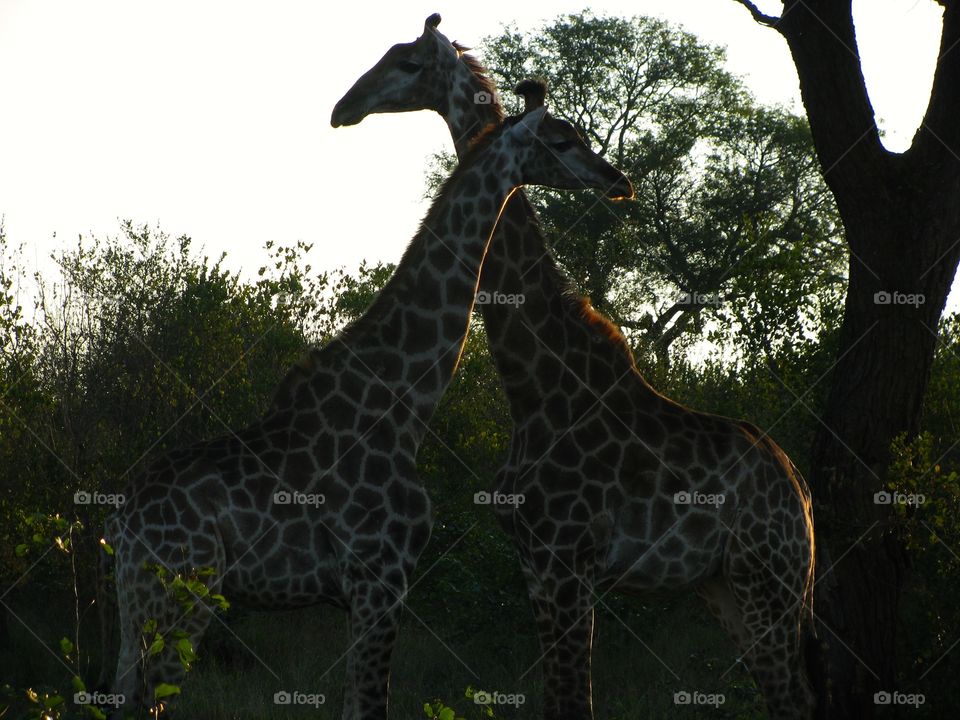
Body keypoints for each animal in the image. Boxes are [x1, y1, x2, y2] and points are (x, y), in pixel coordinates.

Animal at [101, 100, 632, 719]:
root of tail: (123, 520)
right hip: (184, 591)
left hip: (134, 599)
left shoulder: (364, 591)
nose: (617, 181)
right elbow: (370, 704)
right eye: (562, 140)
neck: (404, 405)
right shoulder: (381, 576)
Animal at [332, 14, 816, 720]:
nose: (345, 107)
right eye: (563, 138)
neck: (536, 385)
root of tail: (801, 496)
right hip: (726, 586)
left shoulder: (567, 560)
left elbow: (573, 698)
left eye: (404, 61)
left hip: (767, 581)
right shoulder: (537, 564)